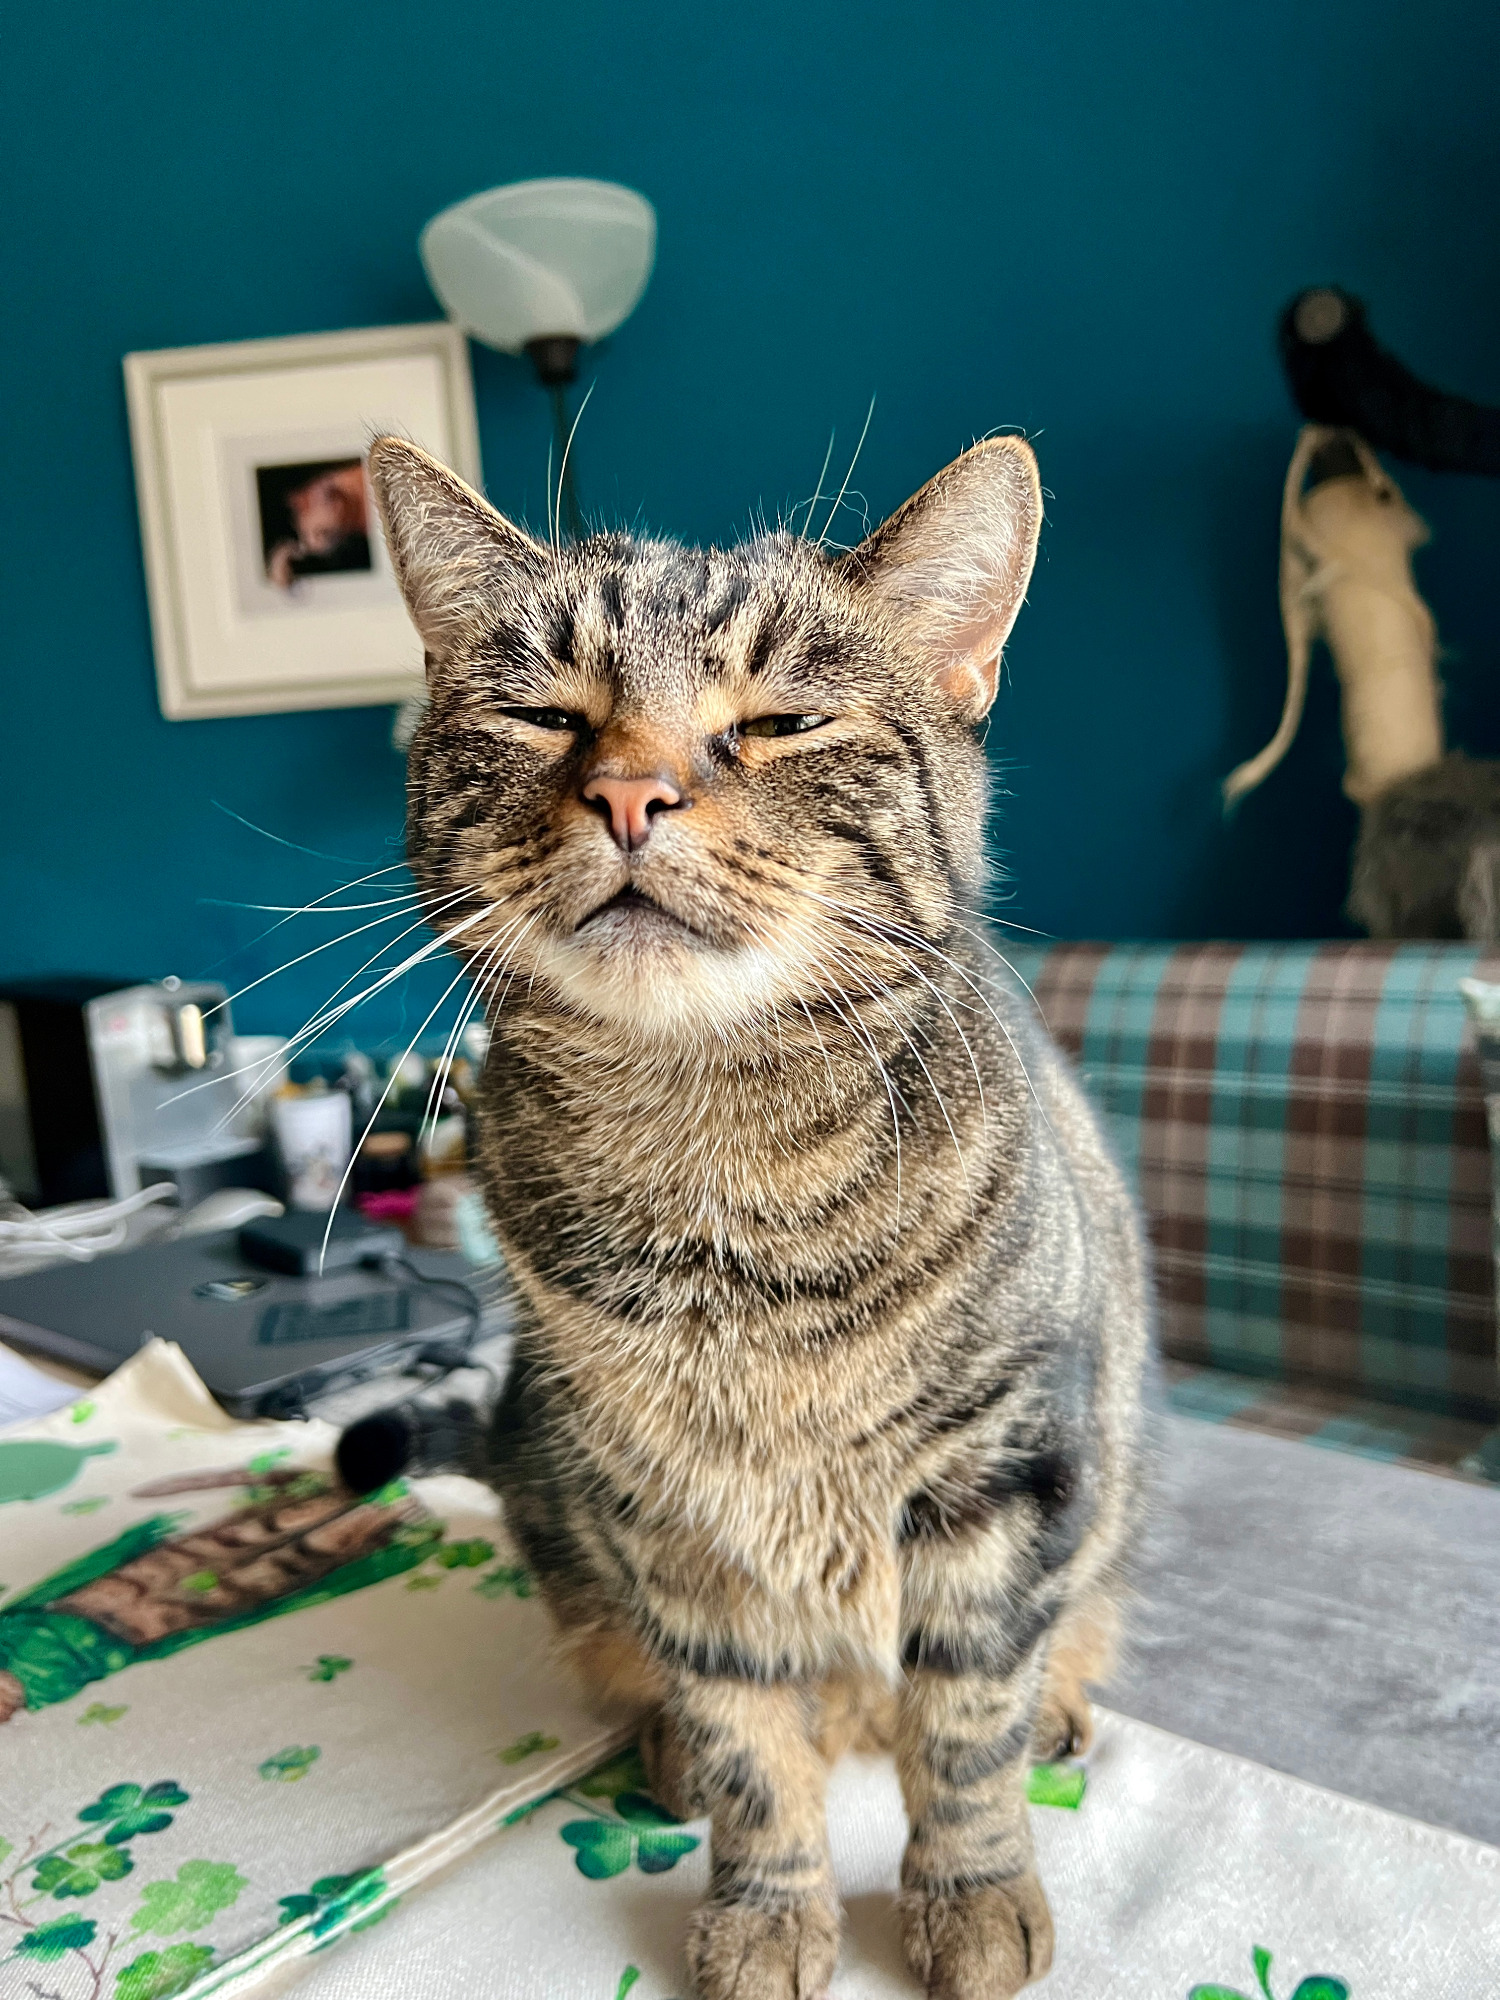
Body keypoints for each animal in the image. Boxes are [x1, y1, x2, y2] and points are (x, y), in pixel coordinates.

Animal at [367, 433, 1150, 2000]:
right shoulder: (673, 1522)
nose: (629, 795)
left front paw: (971, 1893)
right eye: (543, 713)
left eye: (783, 720)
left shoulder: (1006, 1484)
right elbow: (747, 1741)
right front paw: (767, 1907)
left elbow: (965, 1728)